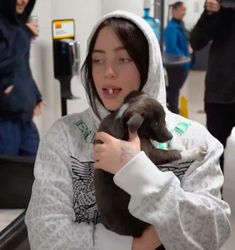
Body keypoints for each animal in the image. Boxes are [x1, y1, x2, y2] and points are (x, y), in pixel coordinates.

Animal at [94, 91, 205, 237]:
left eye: (164, 119)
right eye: (156, 123)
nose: (170, 137)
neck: (122, 119)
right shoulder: (151, 153)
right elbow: (174, 154)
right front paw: (195, 151)